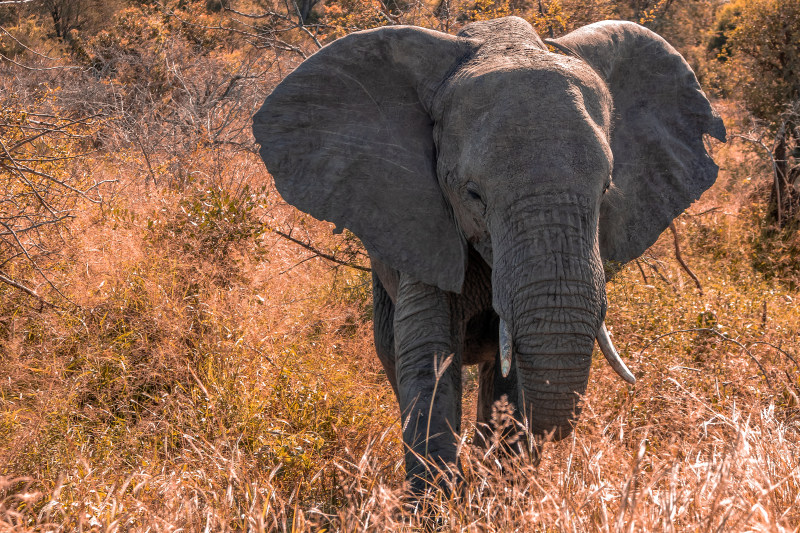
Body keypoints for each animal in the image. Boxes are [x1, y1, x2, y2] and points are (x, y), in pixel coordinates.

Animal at [253, 16, 728, 490]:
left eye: (607, 188)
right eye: (473, 194)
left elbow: (513, 373)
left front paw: (501, 492)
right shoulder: (422, 222)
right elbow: (428, 354)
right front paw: (439, 499)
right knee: (391, 349)